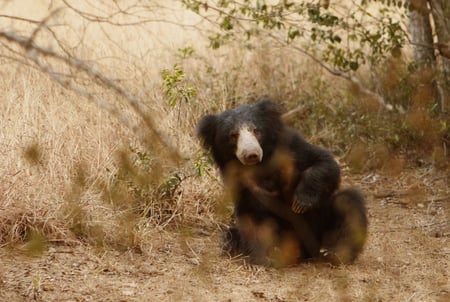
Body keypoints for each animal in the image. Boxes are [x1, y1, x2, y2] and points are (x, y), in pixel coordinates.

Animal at [199, 99, 368, 266]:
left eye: (256, 131)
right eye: (233, 136)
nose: (251, 154)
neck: (258, 166)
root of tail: (306, 252)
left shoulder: (289, 145)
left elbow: (324, 162)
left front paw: (301, 203)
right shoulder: (239, 182)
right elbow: (253, 219)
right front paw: (263, 258)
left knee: (348, 203)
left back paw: (335, 253)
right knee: (230, 234)